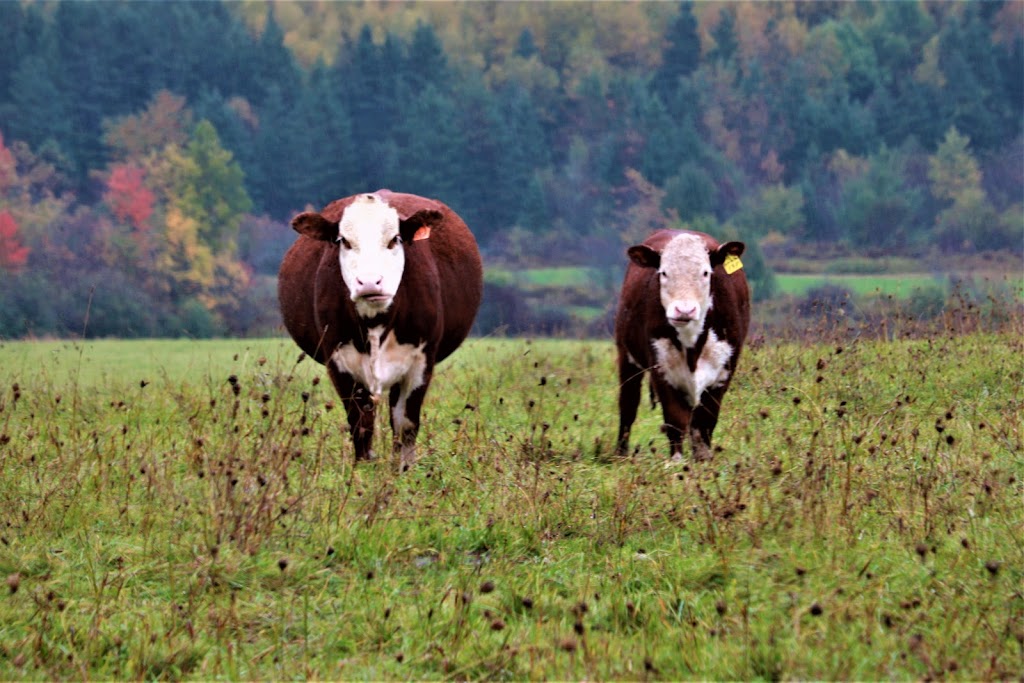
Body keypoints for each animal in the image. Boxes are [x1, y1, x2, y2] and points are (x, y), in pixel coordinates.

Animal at [276, 192, 483, 471]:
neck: (375, 324)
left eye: (394, 239)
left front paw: (404, 470)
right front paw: (362, 468)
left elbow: (405, 422)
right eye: (344, 241)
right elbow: (360, 422)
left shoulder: (422, 360)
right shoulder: (338, 361)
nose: (370, 282)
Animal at [610, 231, 749, 464]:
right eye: (664, 273)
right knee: (628, 405)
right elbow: (675, 420)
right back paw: (620, 454)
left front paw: (703, 460)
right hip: (627, 356)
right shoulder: (661, 369)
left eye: (705, 273)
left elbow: (705, 422)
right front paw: (676, 462)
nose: (684, 310)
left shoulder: (724, 370)